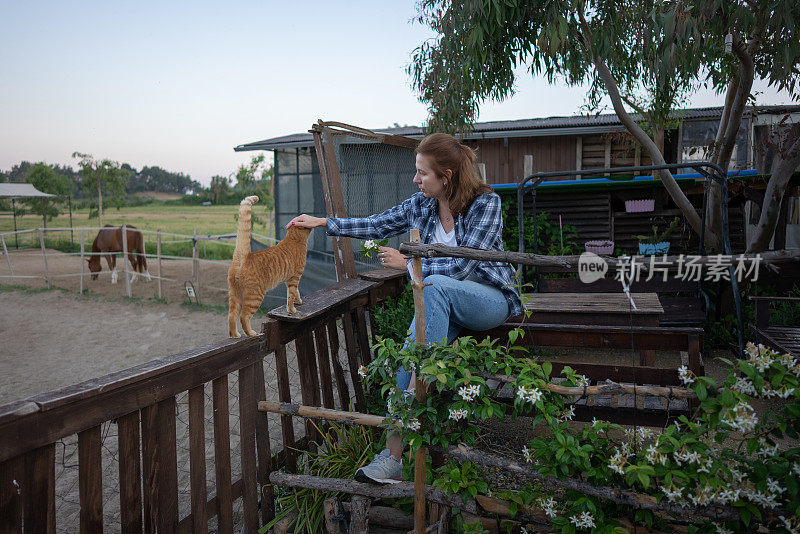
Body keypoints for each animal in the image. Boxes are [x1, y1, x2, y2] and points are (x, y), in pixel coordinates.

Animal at [228, 197, 312, 340]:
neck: (294, 239)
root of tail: (244, 257)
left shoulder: (290, 279)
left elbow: (295, 293)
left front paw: (298, 301)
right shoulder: (295, 278)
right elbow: (291, 296)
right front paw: (292, 310)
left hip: (235, 295)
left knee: (231, 316)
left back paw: (235, 335)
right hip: (255, 296)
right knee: (244, 317)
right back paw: (251, 333)